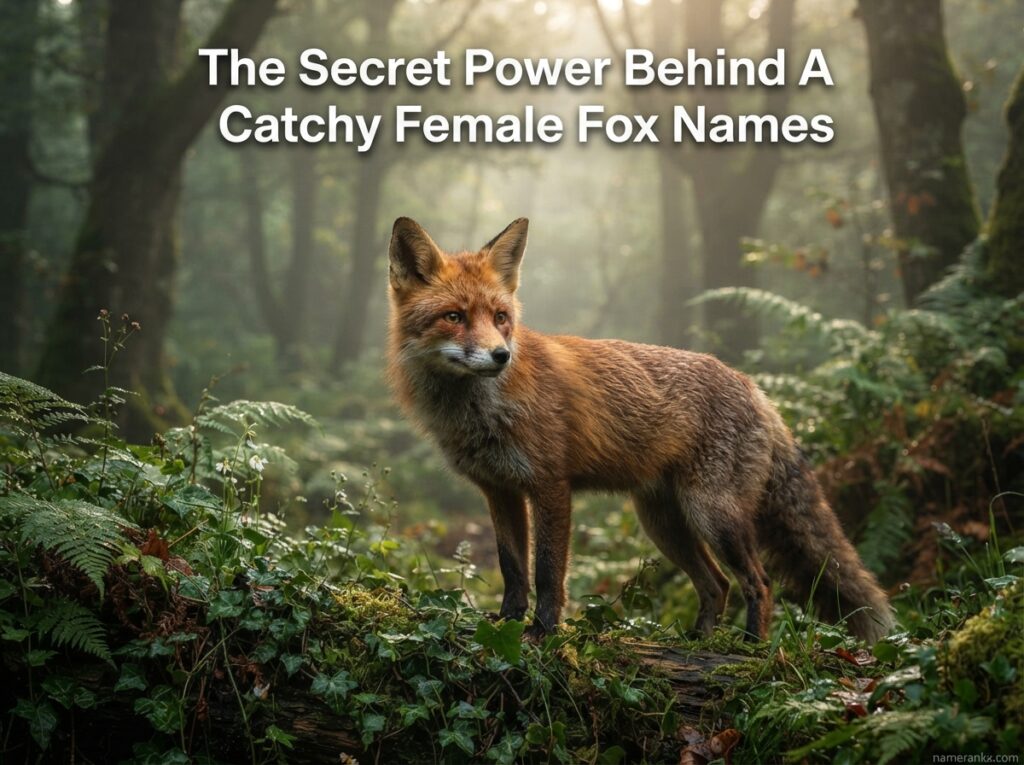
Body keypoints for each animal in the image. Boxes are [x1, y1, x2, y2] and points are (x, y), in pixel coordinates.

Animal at [386, 216, 895, 642]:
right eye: (454, 316)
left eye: (500, 318)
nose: (500, 356)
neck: (480, 413)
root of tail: (755, 388)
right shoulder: (500, 491)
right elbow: (513, 569)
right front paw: (506, 625)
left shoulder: (550, 486)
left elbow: (548, 573)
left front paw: (543, 632)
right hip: (665, 524)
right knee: (717, 584)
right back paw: (699, 642)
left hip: (712, 514)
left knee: (760, 581)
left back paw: (752, 648)